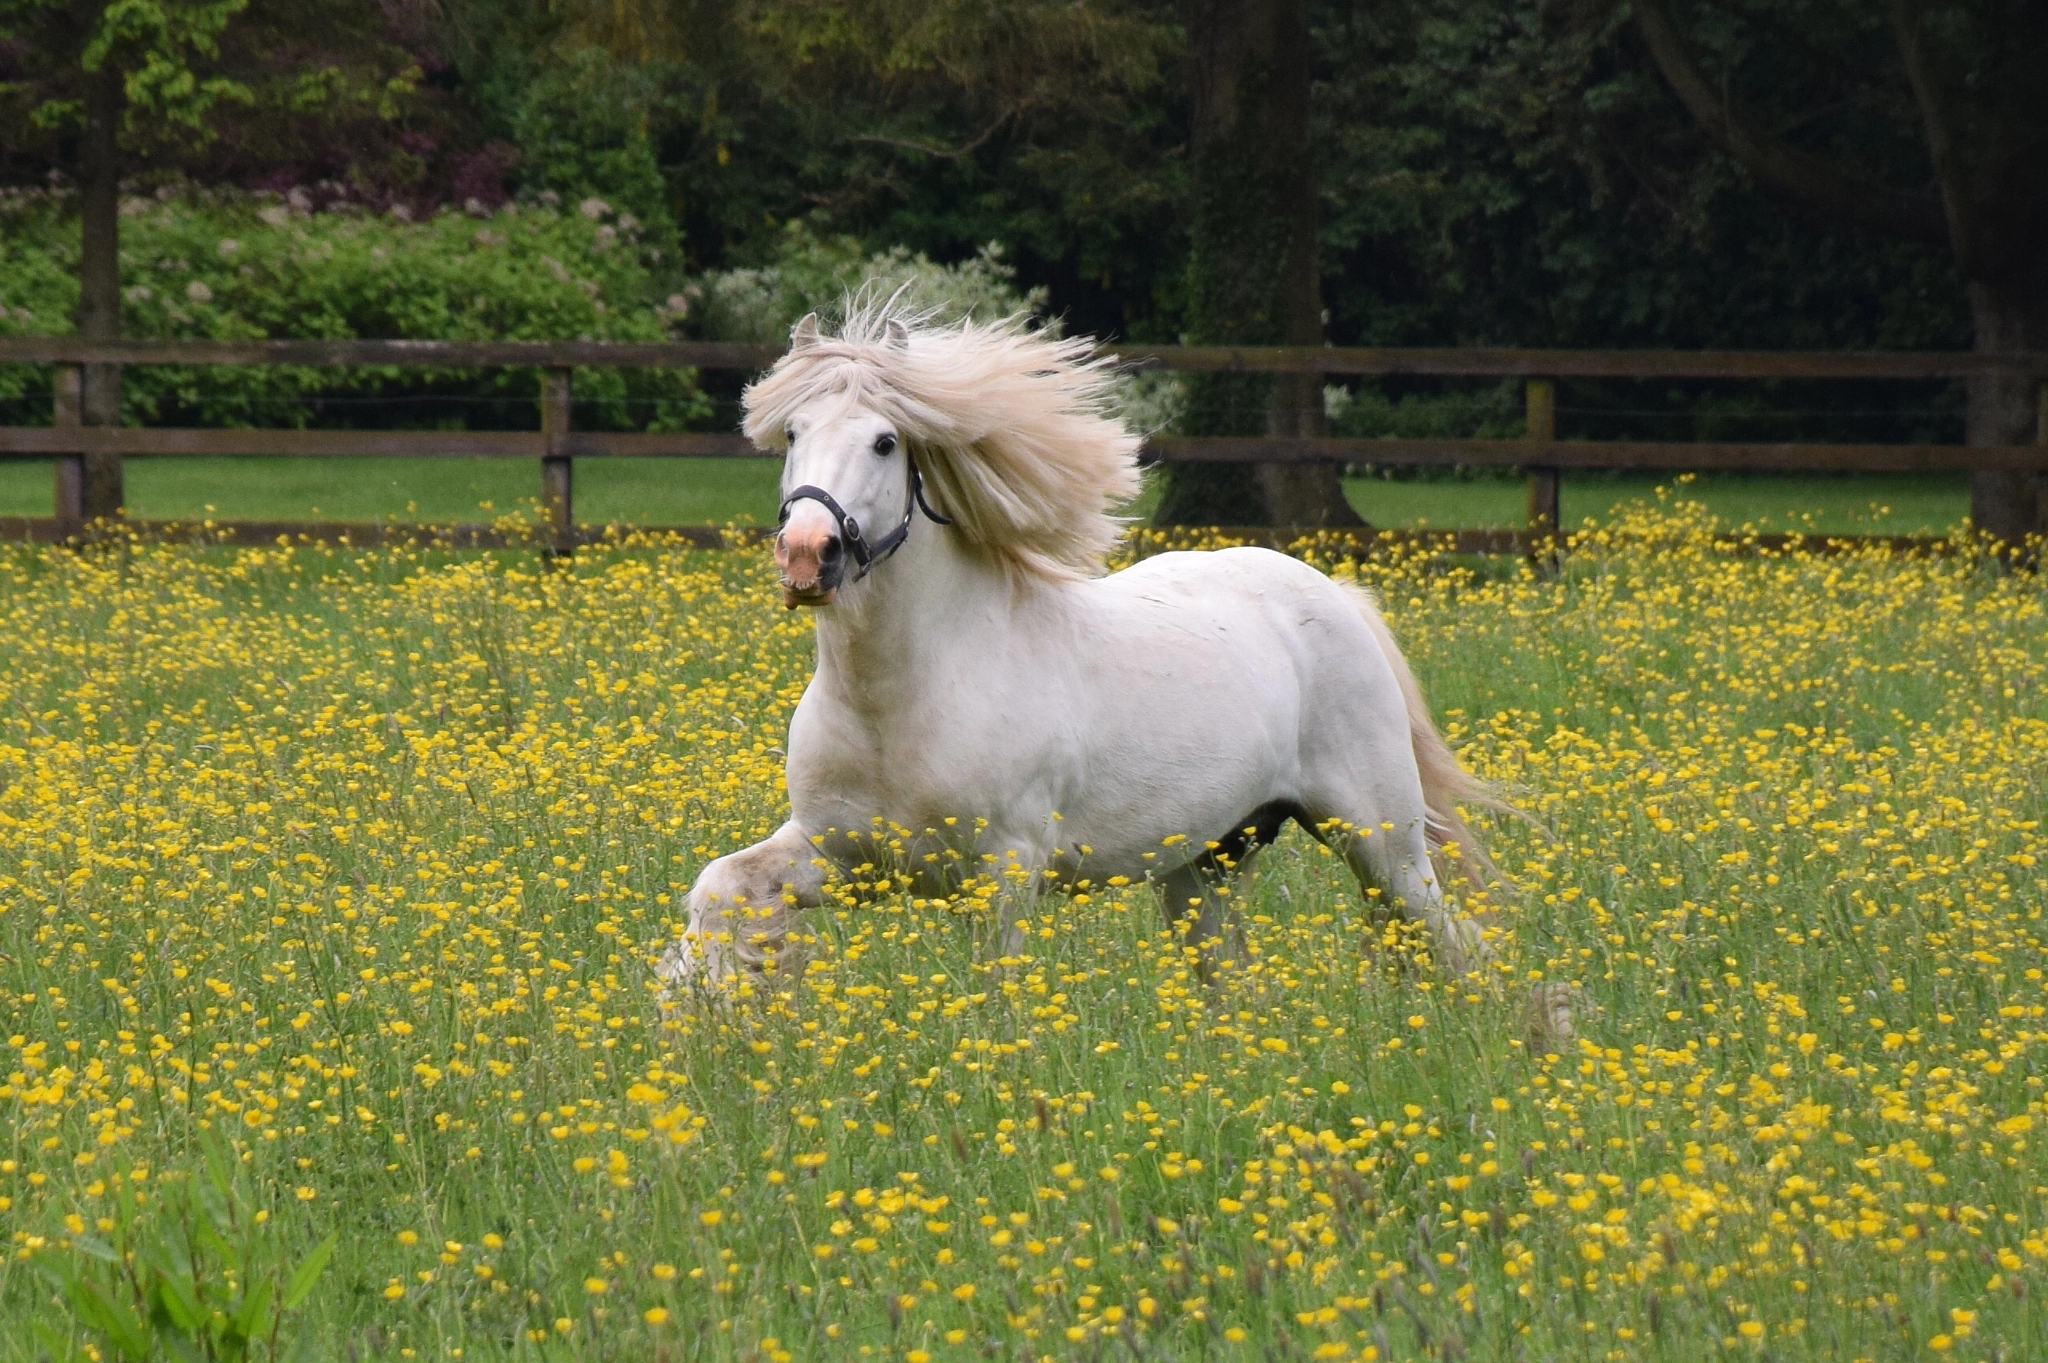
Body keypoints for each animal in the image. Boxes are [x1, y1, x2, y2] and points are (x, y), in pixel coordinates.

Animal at [658, 304, 1511, 995]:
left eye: (885, 441)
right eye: (792, 434)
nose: (808, 556)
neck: (900, 700)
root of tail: (1337, 596)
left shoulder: (1000, 872)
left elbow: (994, 1001)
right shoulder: (841, 854)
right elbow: (721, 888)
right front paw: (706, 1004)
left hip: (1381, 844)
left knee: (1456, 943)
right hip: (1209, 866)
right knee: (1237, 989)